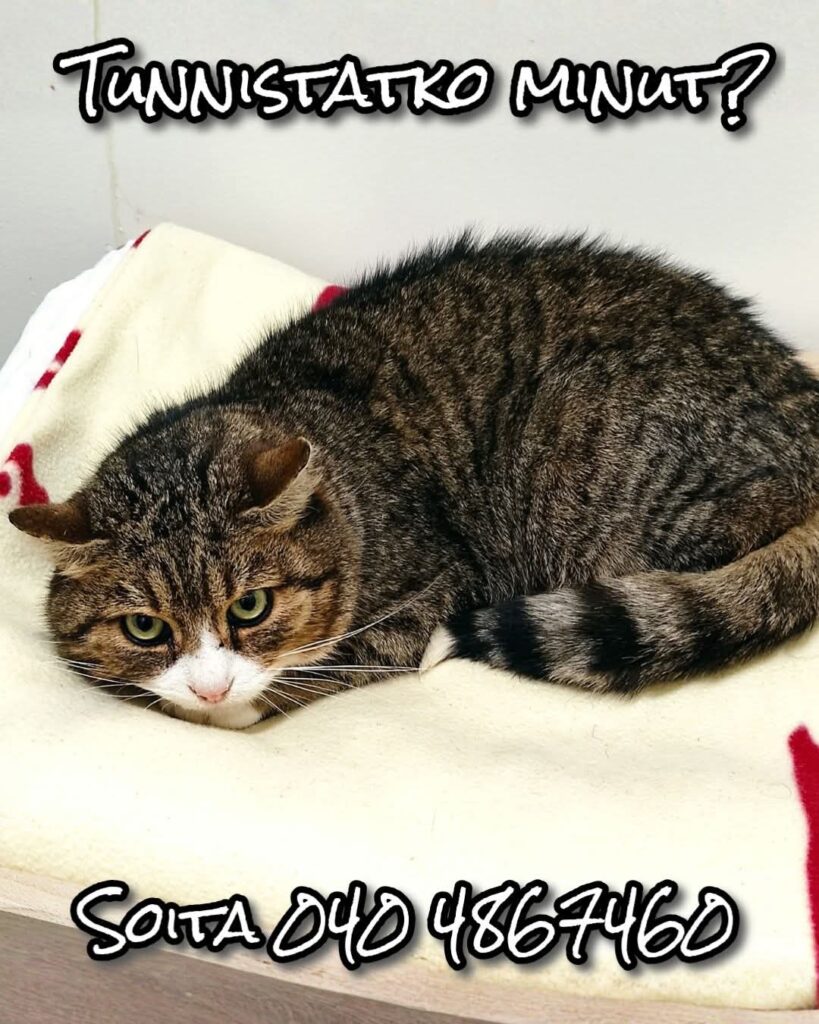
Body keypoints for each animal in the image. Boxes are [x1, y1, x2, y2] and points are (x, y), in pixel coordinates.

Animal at [9, 234, 819, 729]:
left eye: (250, 607)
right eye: (144, 628)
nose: (210, 685)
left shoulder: (430, 587)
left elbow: (328, 665)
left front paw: (229, 703)